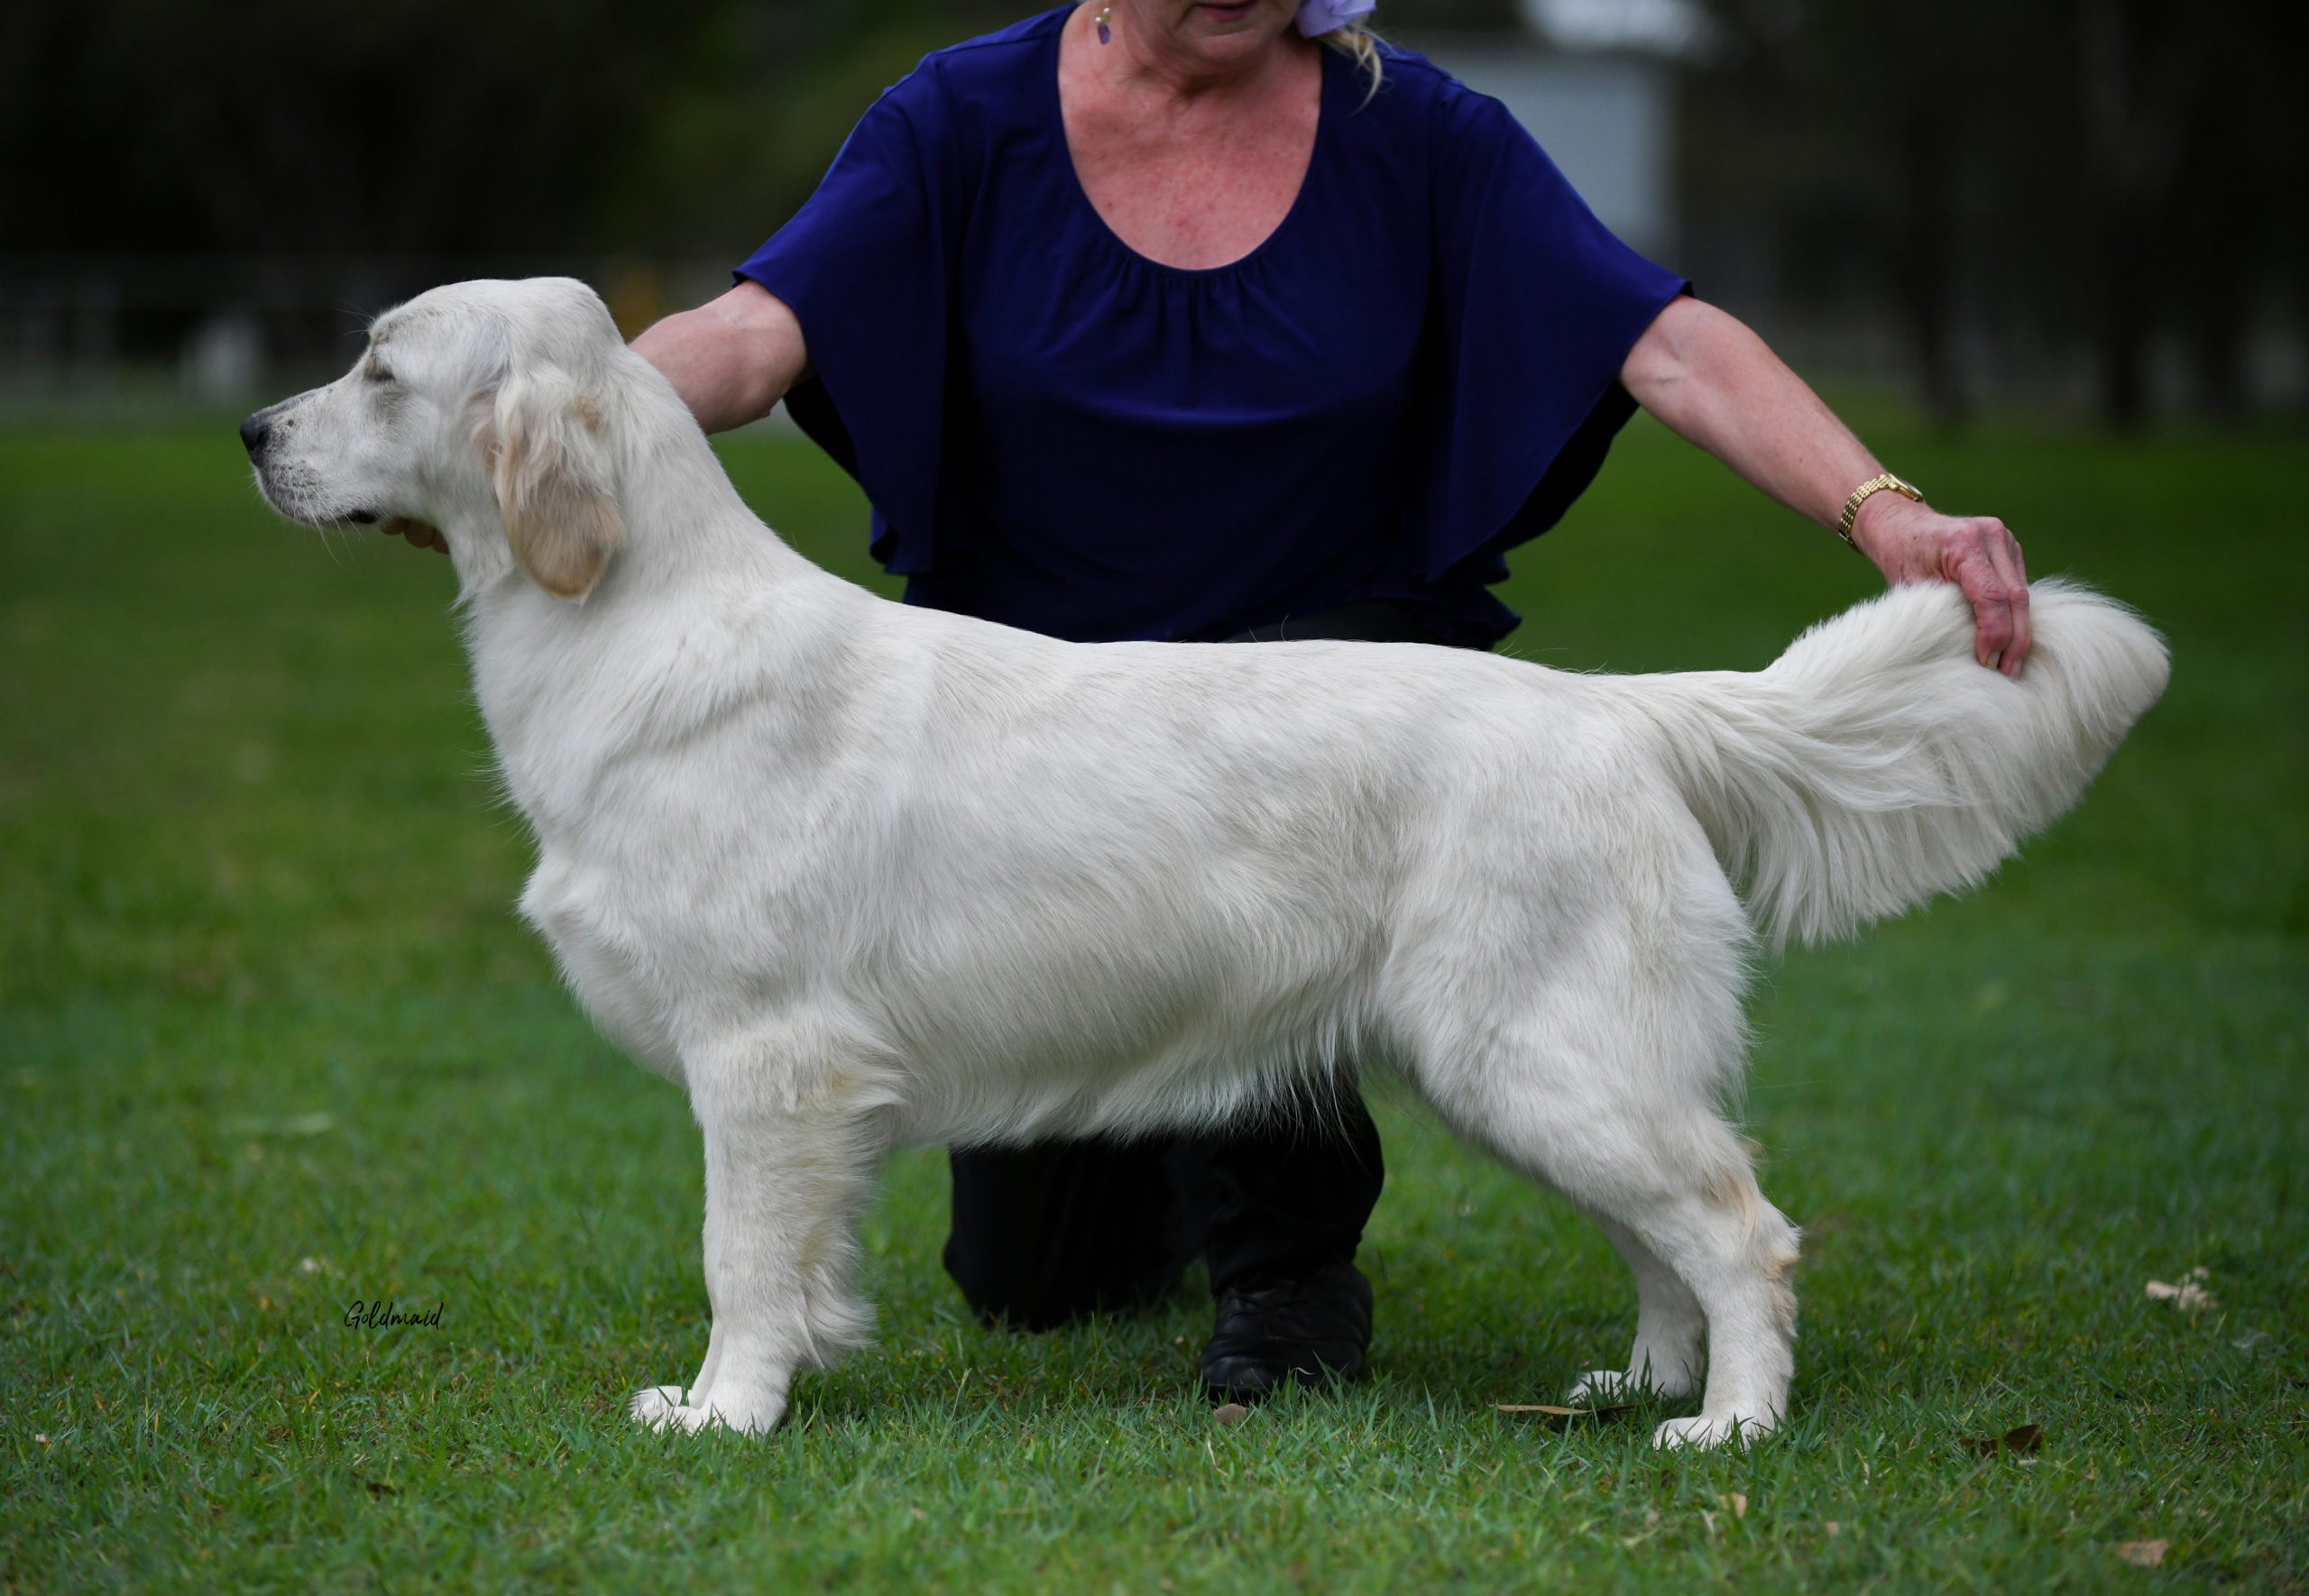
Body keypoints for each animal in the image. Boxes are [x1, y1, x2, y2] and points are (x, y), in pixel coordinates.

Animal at [242, 277, 2169, 1447]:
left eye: (381, 367)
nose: (253, 434)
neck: (632, 618)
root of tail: (1618, 710)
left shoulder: (765, 1058)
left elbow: (737, 1262)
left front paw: (724, 1414)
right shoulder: (805, 1090)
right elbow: (797, 1266)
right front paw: (789, 1379)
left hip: (1540, 1051)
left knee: (1742, 1228)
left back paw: (1733, 1426)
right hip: (1536, 1062)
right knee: (1666, 1238)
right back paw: (1640, 1385)